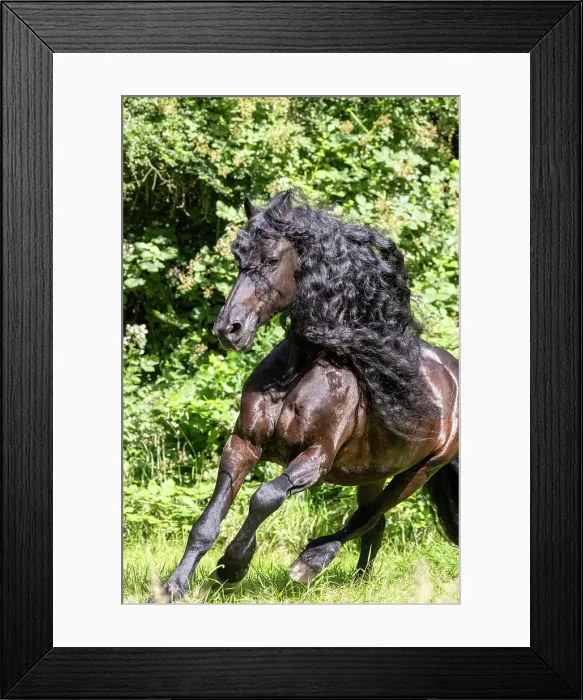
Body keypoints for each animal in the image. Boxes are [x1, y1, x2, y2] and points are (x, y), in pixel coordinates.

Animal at [157, 189, 458, 602]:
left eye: (271, 259)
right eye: (238, 259)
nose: (229, 329)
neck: (297, 373)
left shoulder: (316, 458)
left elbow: (265, 496)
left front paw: (232, 567)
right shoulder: (242, 445)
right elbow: (207, 522)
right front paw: (174, 588)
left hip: (421, 470)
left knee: (367, 518)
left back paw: (310, 563)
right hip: (373, 472)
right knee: (374, 524)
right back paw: (358, 582)